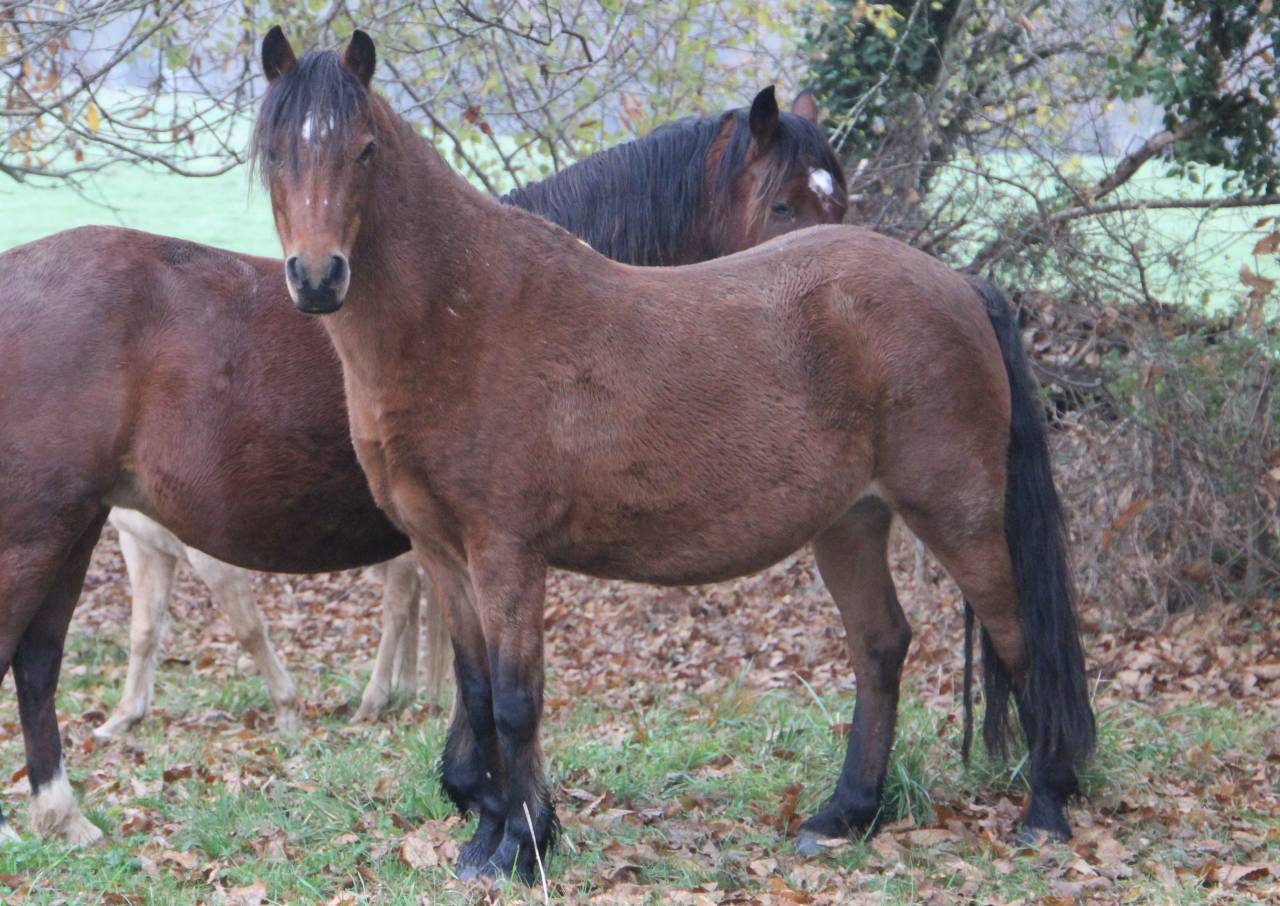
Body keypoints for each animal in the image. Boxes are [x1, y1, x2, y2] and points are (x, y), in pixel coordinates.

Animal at [0, 83, 844, 843]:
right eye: (783, 206)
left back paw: (64, 815)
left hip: (75, 526)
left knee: (38, 662)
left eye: (835, 200)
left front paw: (472, 791)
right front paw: (489, 800)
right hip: (41, 532)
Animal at [253, 27, 1095, 883]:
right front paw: (486, 840)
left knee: (1020, 638)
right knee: (881, 645)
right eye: (274, 153)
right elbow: (478, 691)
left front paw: (524, 842)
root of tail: (959, 286)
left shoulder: (506, 553)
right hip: (851, 521)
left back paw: (1044, 809)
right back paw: (844, 814)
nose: (318, 278)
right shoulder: (441, 551)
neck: (461, 316)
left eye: (363, 151)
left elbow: (517, 699)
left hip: (958, 516)